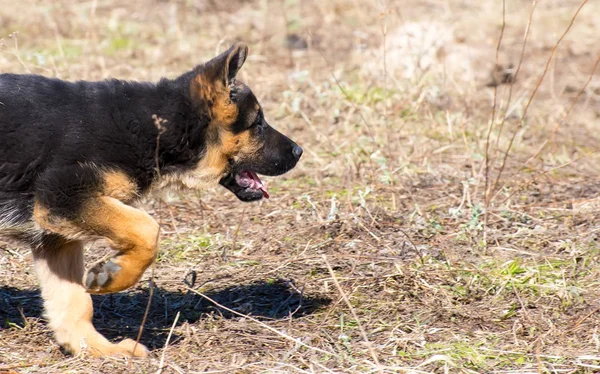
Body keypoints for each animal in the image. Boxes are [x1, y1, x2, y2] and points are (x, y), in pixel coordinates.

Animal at [0, 42, 300, 356]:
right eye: (258, 123)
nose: (299, 151)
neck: (154, 124)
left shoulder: (55, 237)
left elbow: (74, 303)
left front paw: (100, 350)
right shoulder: (63, 195)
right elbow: (147, 229)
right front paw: (114, 276)